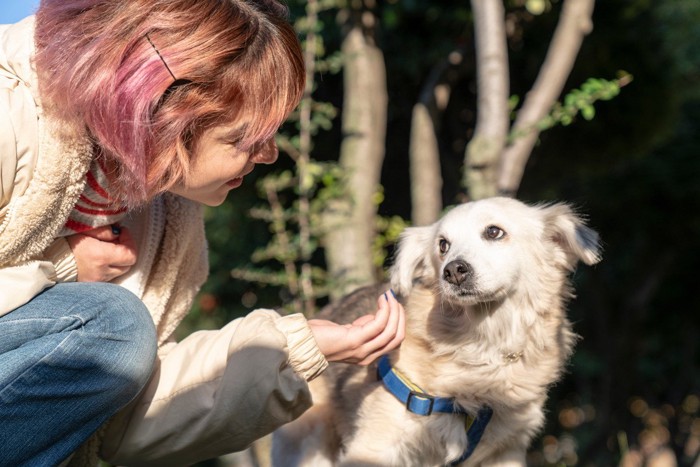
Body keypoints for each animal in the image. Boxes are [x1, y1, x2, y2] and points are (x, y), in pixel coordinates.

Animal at [270, 198, 600, 467]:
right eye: (443, 245)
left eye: (494, 232)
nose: (453, 271)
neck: (481, 346)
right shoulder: (375, 445)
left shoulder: (506, 451)